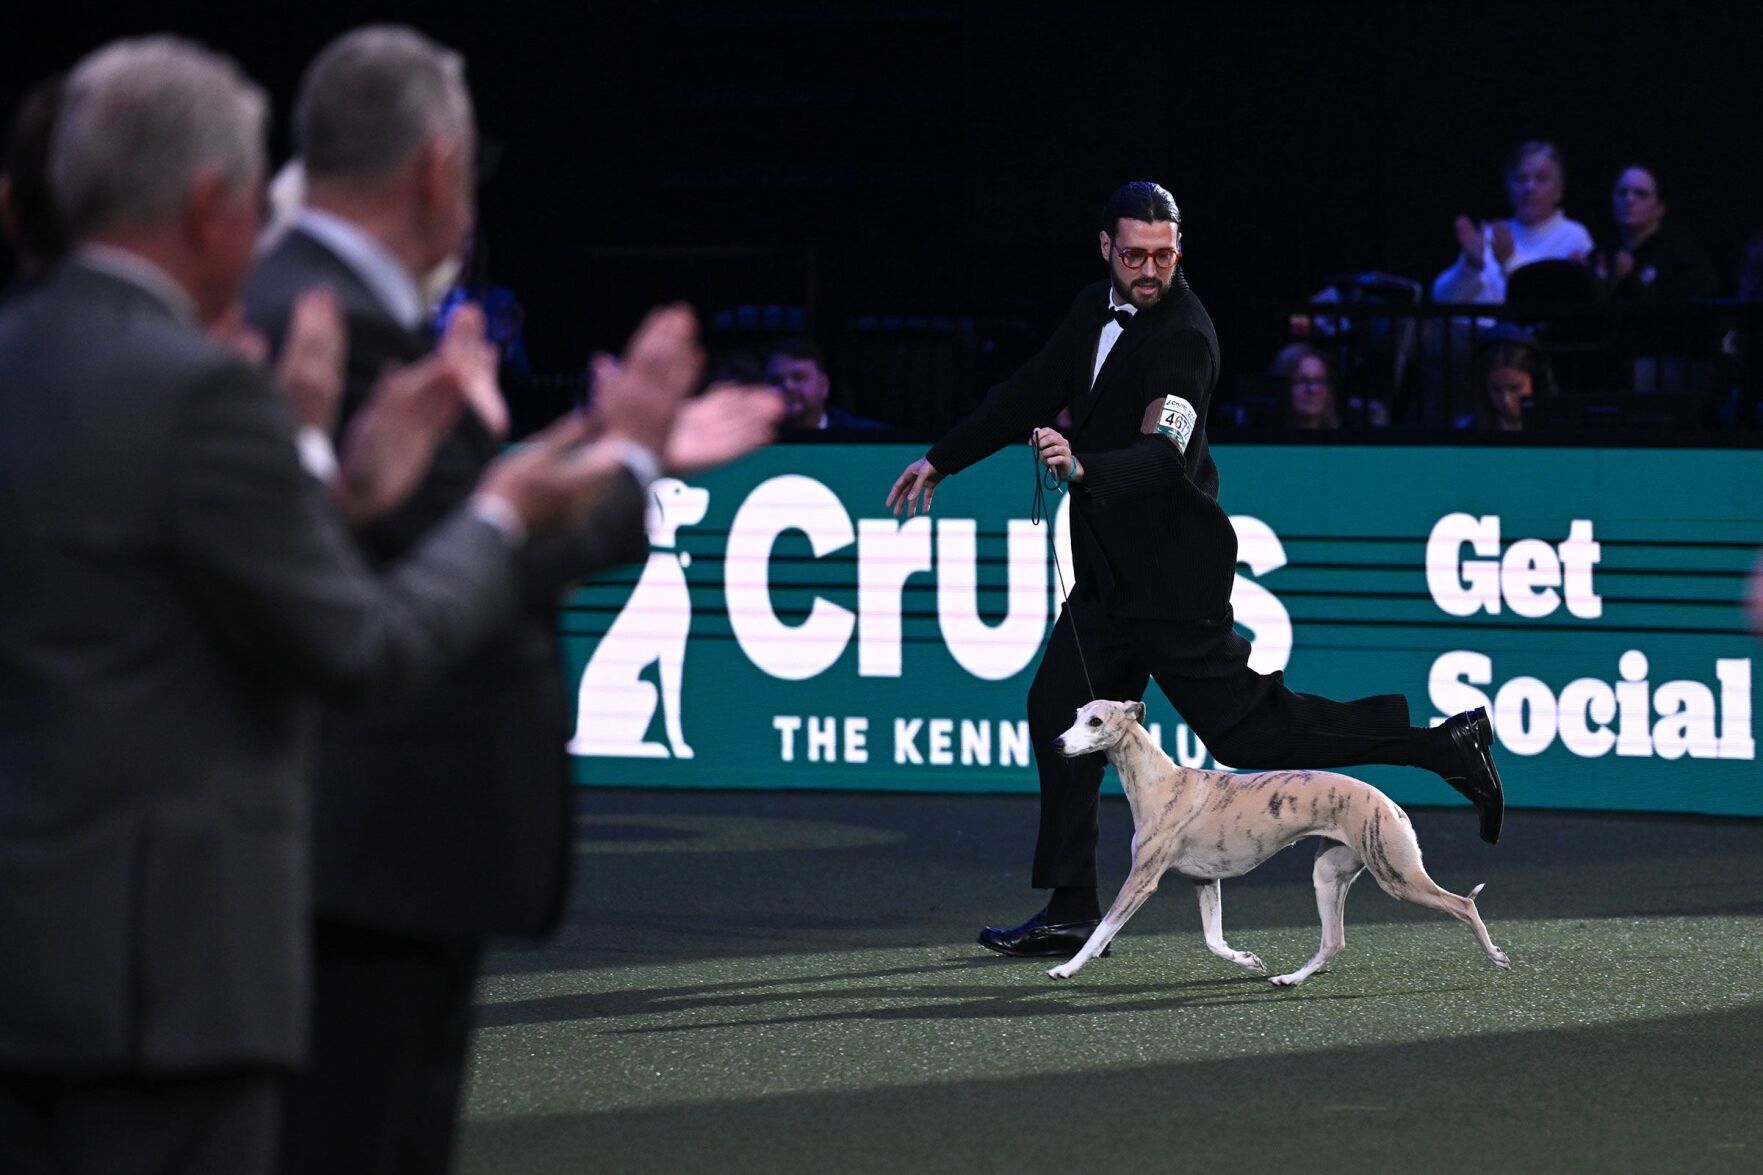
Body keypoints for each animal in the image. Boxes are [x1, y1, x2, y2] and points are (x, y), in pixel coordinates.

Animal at [1043, 698, 1516, 980]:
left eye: (1096, 721)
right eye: (1074, 715)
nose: (1056, 743)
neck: (1161, 782)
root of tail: (1389, 803)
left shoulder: (1143, 878)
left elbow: (1102, 929)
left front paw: (1066, 968)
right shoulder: (1204, 879)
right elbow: (1213, 940)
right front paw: (1248, 959)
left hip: (1397, 875)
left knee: (1463, 904)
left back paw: (1496, 955)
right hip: (1329, 874)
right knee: (1333, 940)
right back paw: (1289, 979)